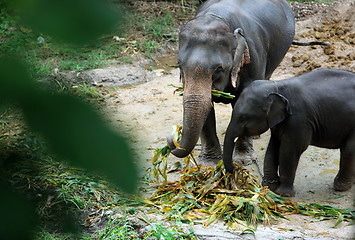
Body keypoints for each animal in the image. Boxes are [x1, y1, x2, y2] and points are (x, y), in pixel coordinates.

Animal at [168, 0, 296, 164]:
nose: (173, 141)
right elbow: (206, 107)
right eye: (179, 64)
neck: (218, 18)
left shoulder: (253, 56)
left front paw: (243, 160)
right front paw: (209, 162)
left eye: (219, 68)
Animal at [224, 68, 354, 196]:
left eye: (243, 118)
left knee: (348, 150)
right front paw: (269, 187)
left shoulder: (299, 118)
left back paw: (341, 187)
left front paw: (284, 194)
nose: (234, 169)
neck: (276, 86)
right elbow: (273, 148)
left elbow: (290, 150)